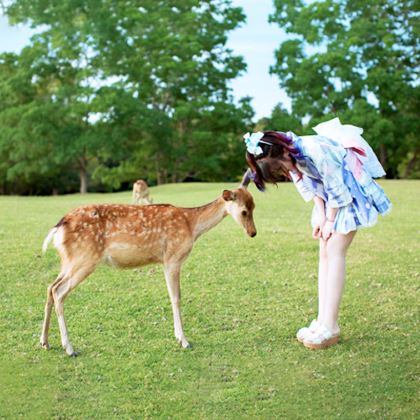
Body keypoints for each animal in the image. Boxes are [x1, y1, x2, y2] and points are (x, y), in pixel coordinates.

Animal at [41, 185, 256, 356]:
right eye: (244, 211)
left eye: (254, 206)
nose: (253, 233)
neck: (192, 226)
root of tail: (58, 228)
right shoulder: (172, 257)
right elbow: (176, 297)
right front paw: (183, 340)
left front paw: (179, 337)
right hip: (84, 258)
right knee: (58, 291)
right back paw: (69, 348)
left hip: (68, 260)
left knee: (50, 287)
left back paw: (45, 342)